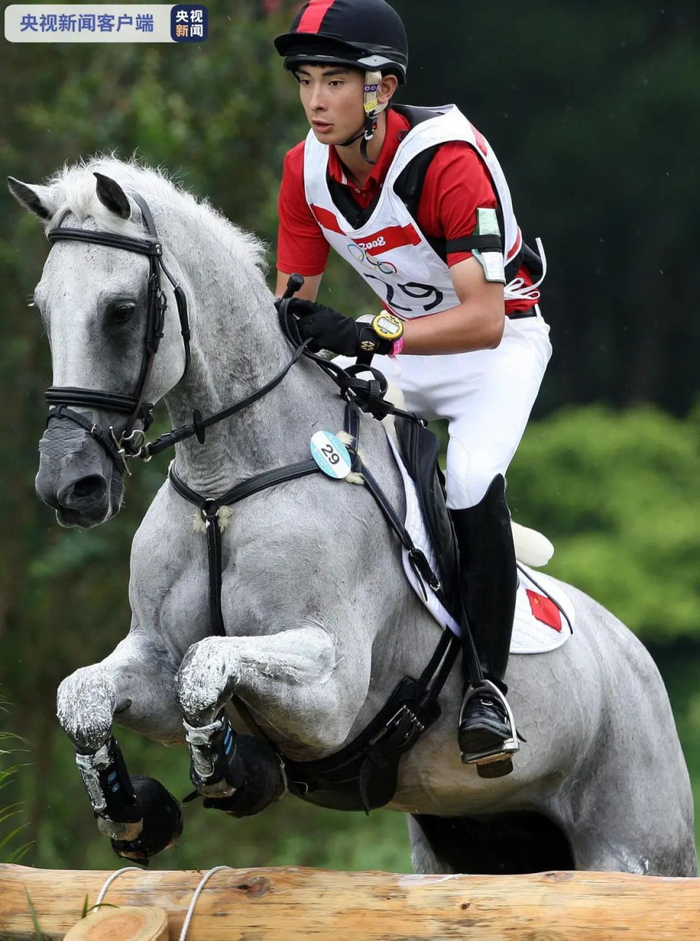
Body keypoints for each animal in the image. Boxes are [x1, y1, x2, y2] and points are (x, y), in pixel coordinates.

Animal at [8, 157, 697, 876]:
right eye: (43, 308)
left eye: (121, 311)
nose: (69, 483)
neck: (227, 485)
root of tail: (635, 656)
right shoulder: (151, 655)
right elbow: (85, 696)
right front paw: (132, 808)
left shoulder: (330, 693)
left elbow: (206, 665)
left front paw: (235, 774)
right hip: (466, 841)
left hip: (634, 847)